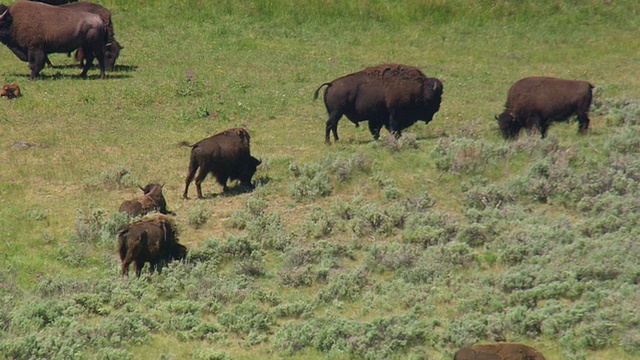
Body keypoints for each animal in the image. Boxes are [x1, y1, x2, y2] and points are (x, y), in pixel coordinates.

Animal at [312, 63, 442, 143]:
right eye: (433, 98)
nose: (437, 108)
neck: (419, 88)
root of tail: (331, 84)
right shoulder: (394, 114)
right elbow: (392, 127)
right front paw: (396, 137)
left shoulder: (379, 117)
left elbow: (376, 129)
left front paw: (378, 138)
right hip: (336, 112)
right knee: (330, 124)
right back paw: (328, 142)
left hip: (335, 113)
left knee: (333, 125)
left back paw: (336, 140)